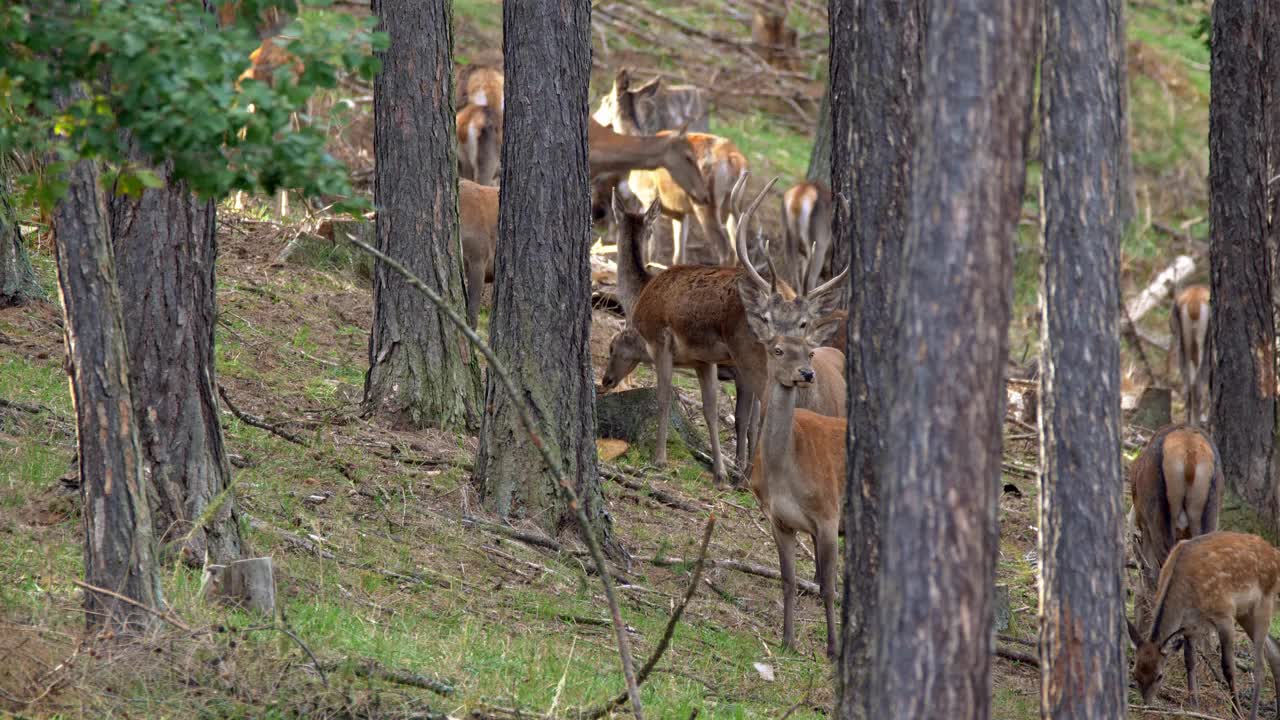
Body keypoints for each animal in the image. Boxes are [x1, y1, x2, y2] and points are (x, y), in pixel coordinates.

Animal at [1131, 530, 1280, 712]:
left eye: (1160, 675)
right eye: (1135, 673)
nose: (1146, 703)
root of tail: (1275, 553)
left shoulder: (1224, 614)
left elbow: (1228, 667)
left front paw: (1236, 710)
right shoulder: (1189, 626)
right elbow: (1190, 661)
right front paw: (1193, 704)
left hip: (1264, 601)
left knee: (1260, 664)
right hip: (1245, 613)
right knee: (1274, 652)